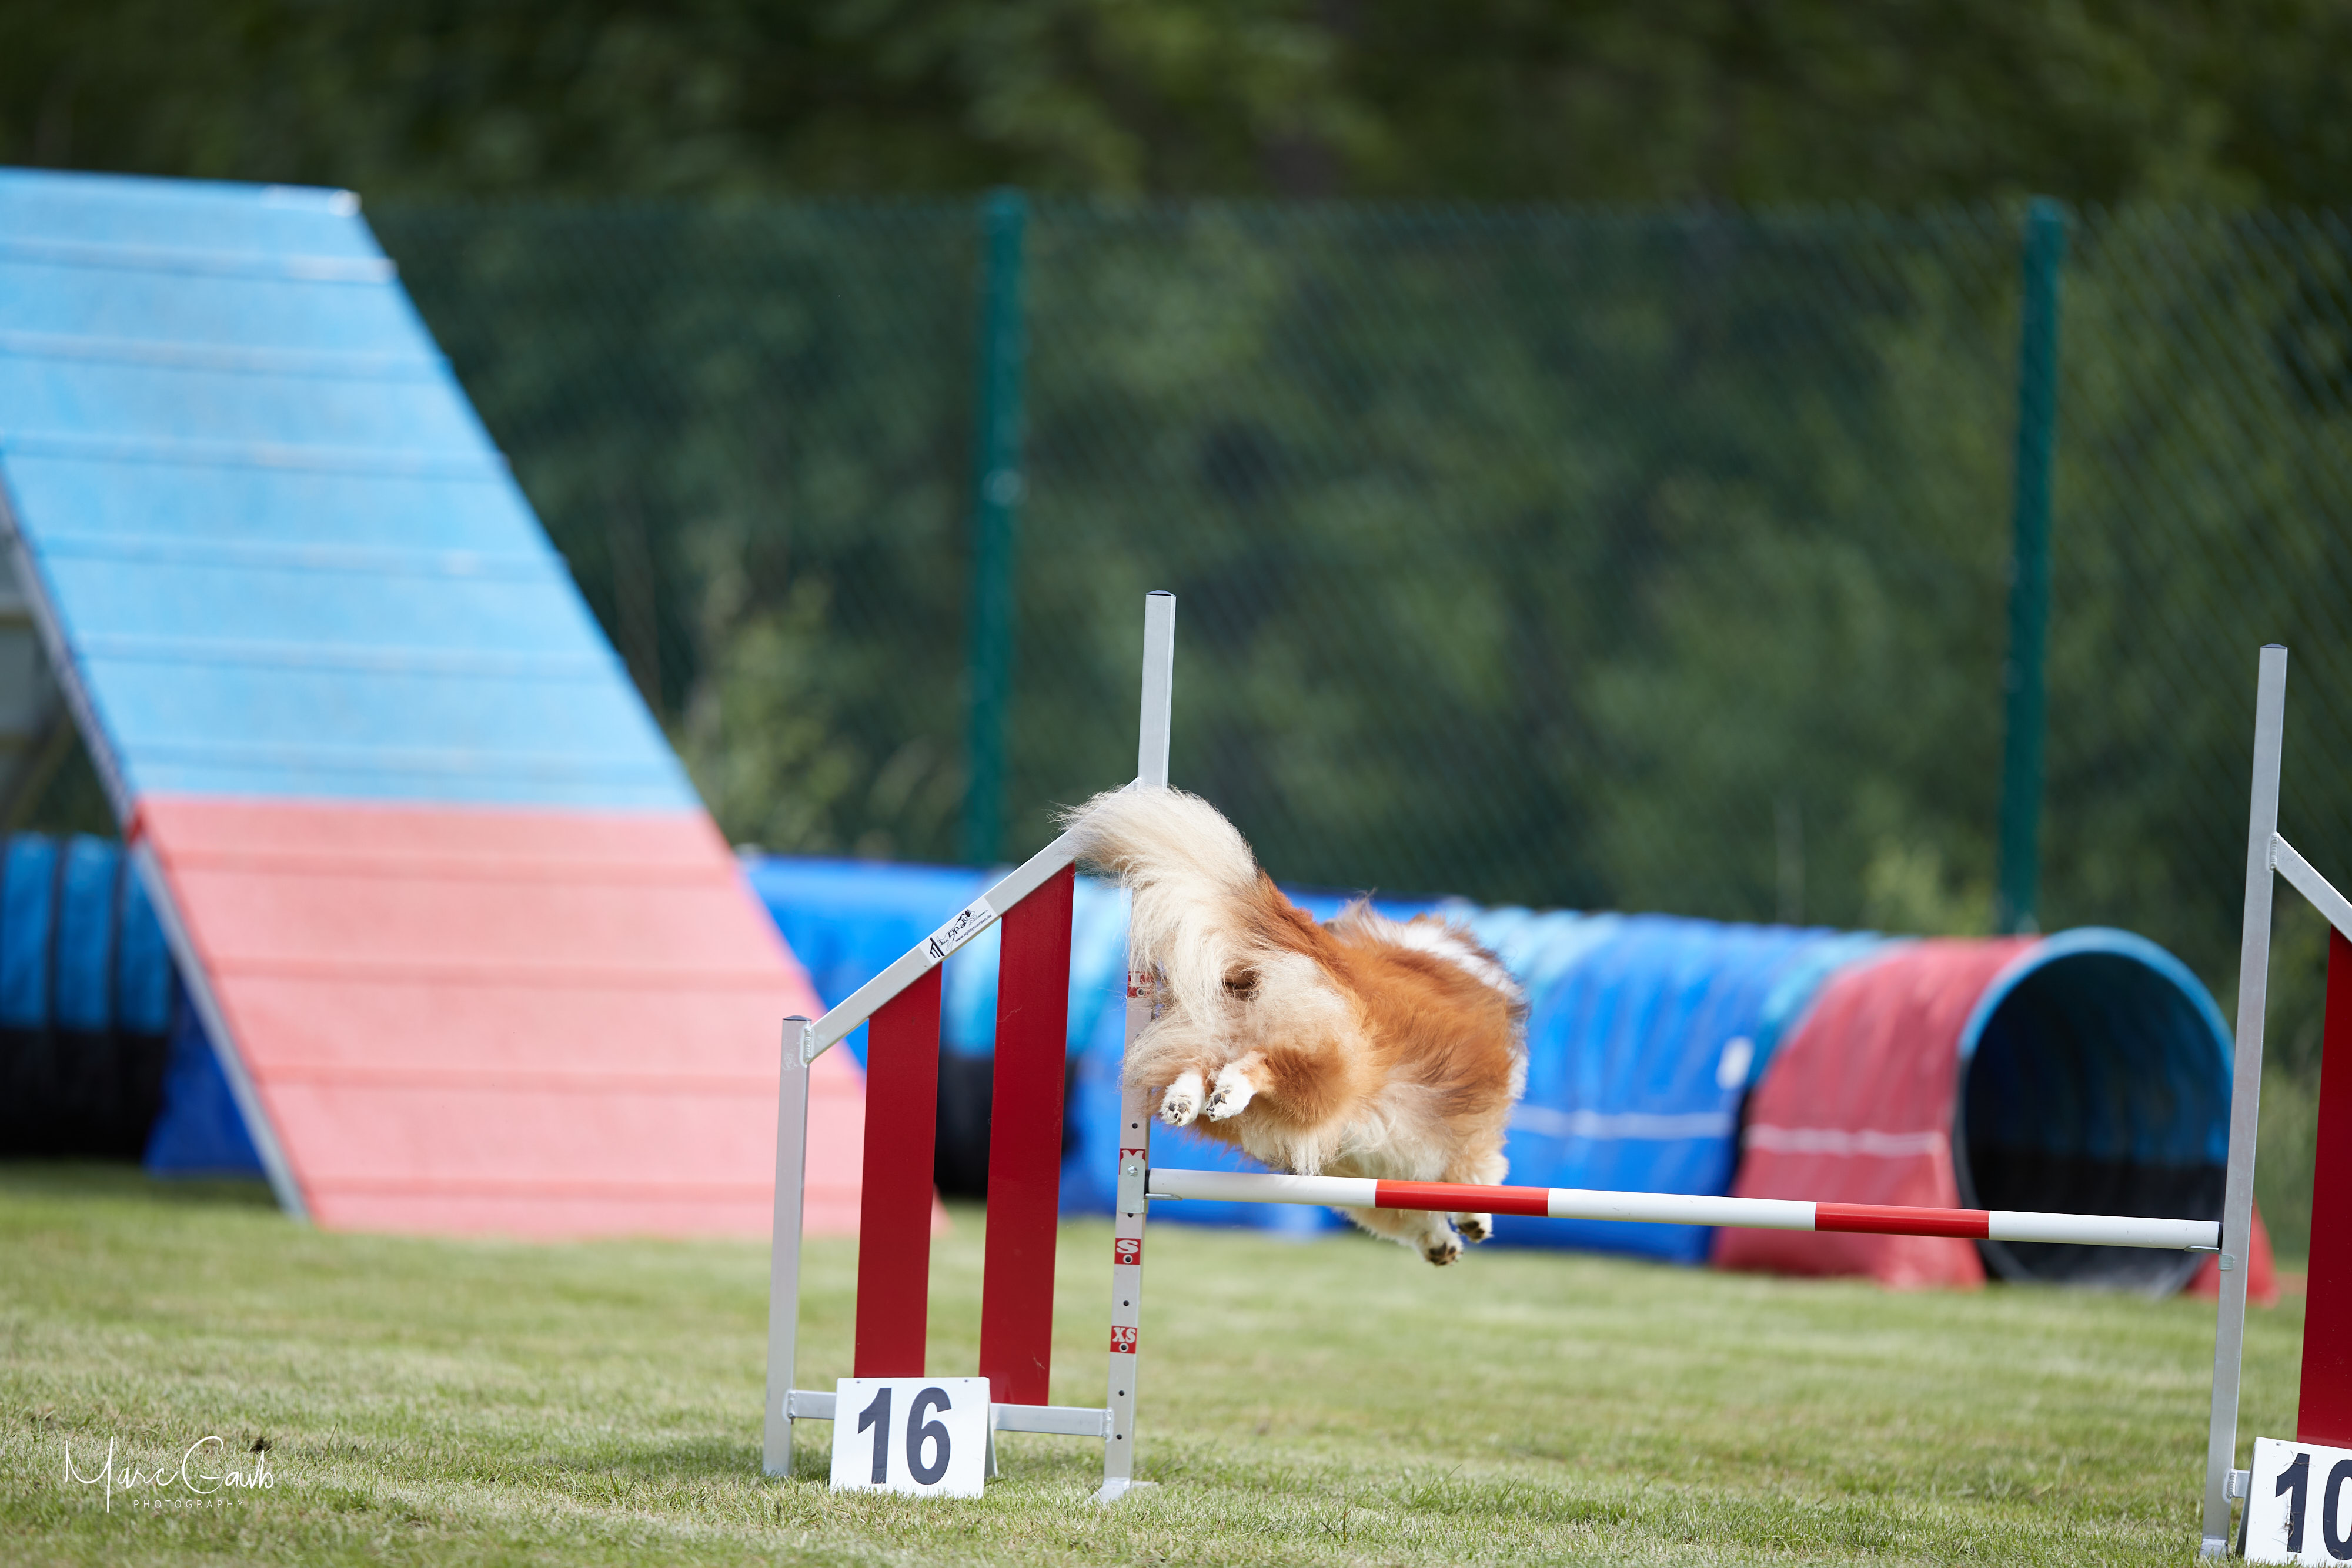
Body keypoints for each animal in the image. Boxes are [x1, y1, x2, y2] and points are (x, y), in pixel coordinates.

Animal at [1062, 785, 1527, 1264]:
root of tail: (1311, 947)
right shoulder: (1468, 1136)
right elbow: (1477, 1174)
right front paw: (1473, 1223)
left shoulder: (1363, 1172)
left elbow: (1400, 1209)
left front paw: (1441, 1243)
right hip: (1327, 1072)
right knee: (1260, 1068)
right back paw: (1228, 1094)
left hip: (1210, 1031)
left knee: (1196, 1066)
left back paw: (1184, 1102)